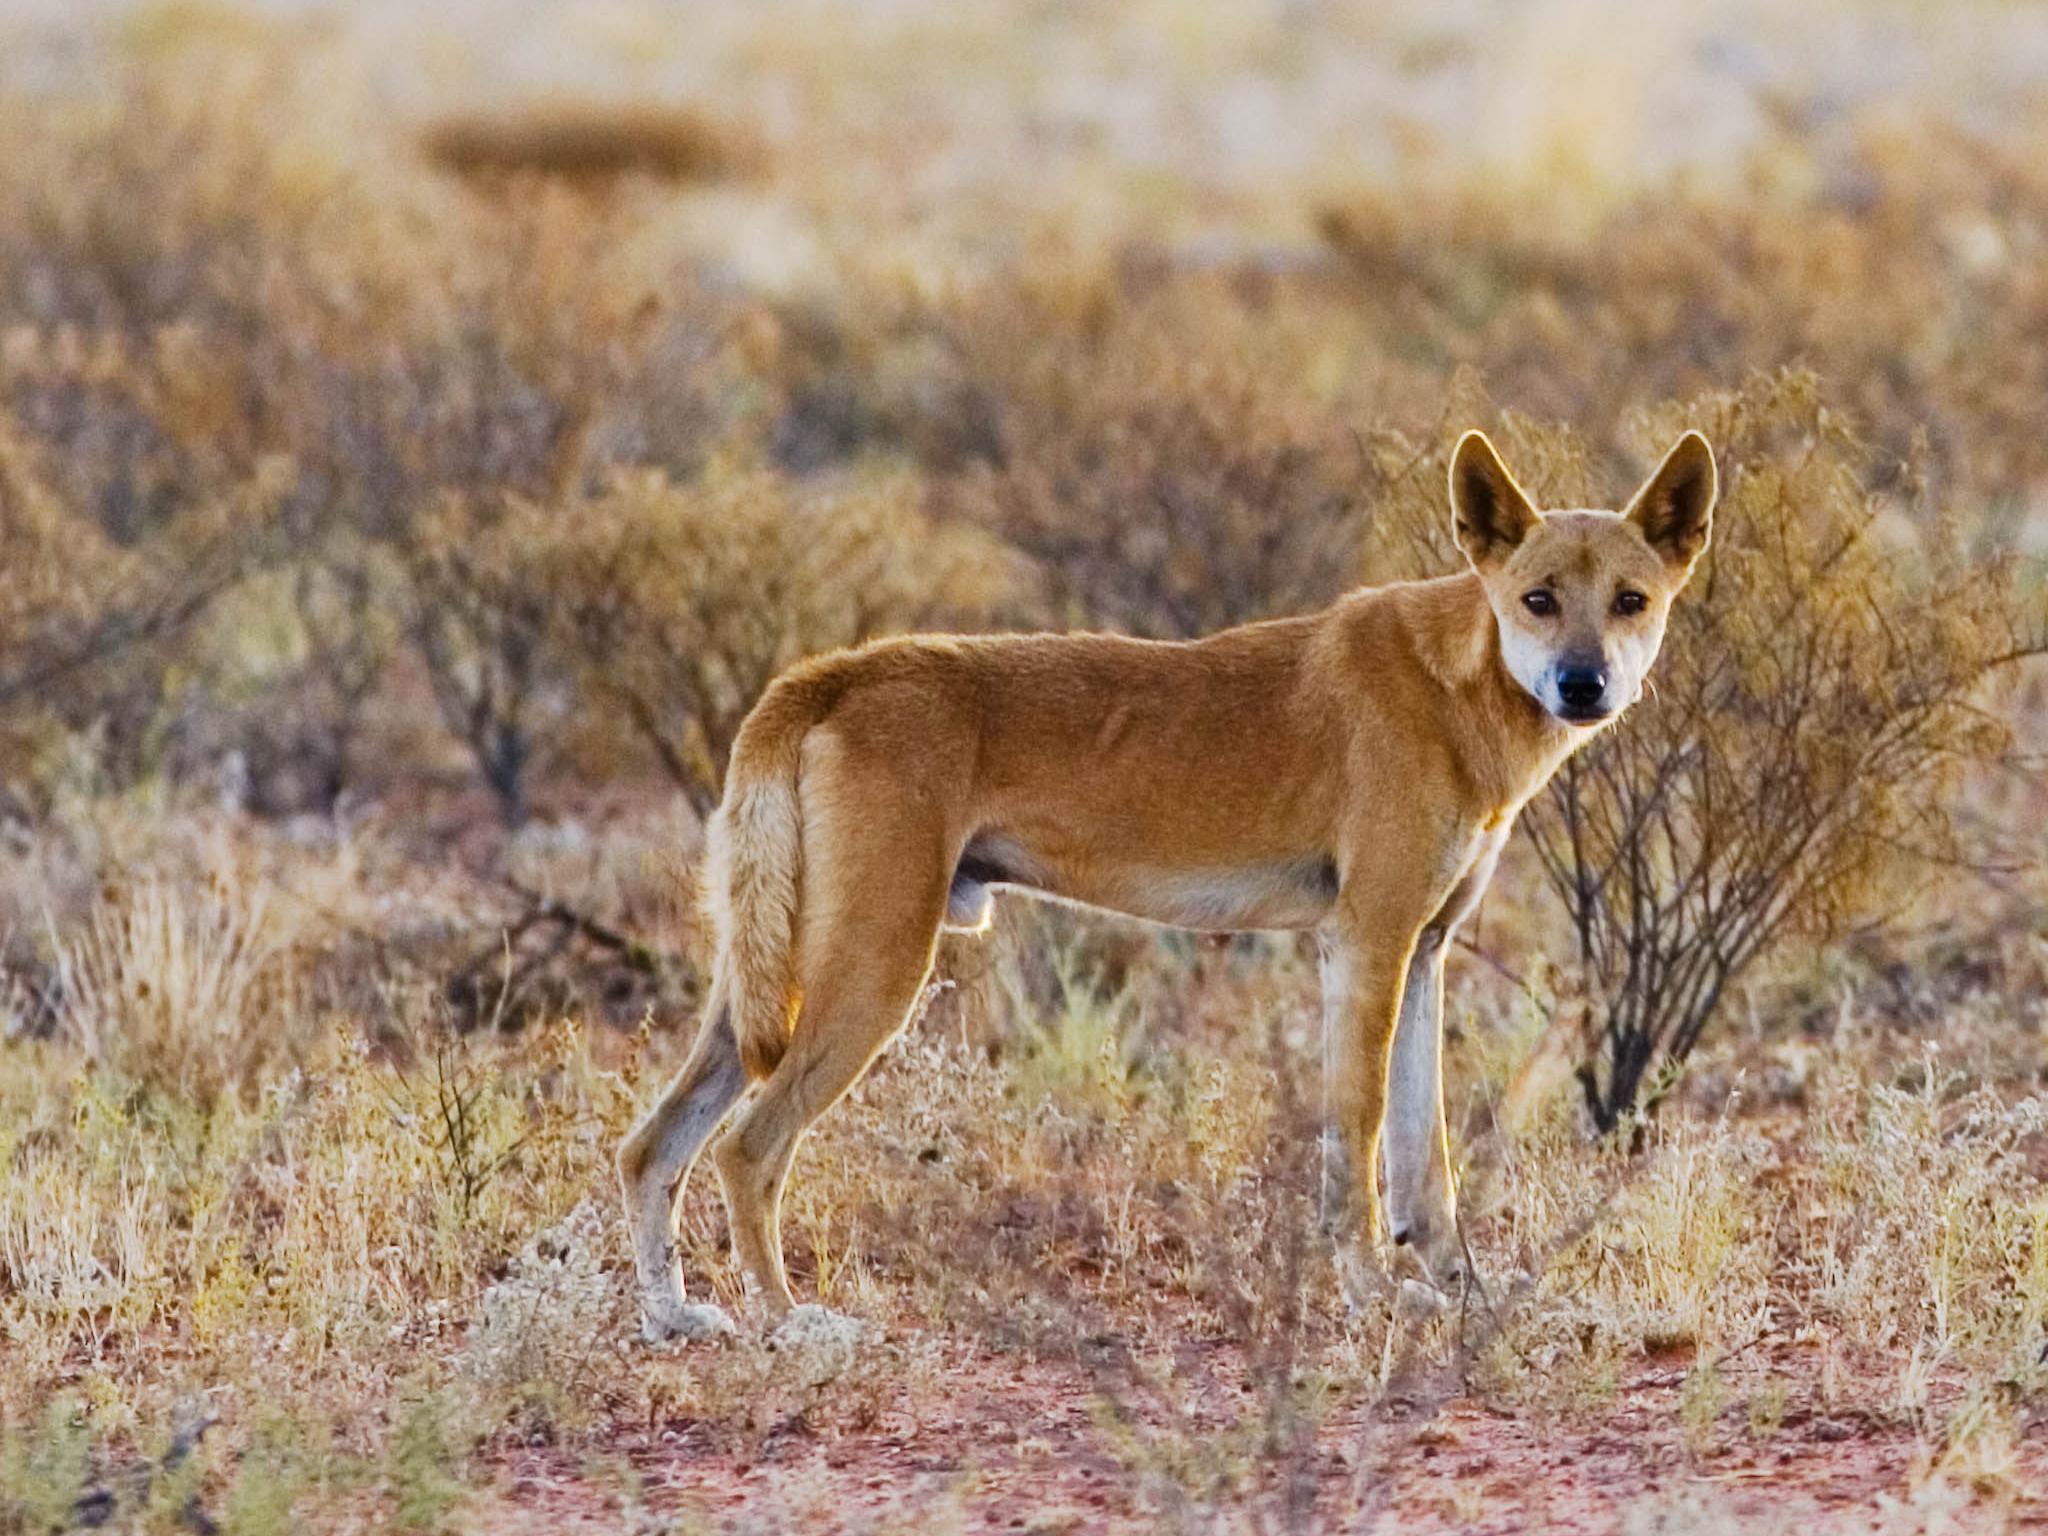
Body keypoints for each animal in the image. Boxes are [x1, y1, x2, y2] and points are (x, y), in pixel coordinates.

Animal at [618, 428, 1712, 1343]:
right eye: (1538, 599)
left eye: (1629, 601)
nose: (1583, 684)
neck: (1458, 688)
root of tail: (830, 674)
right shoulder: (1367, 940)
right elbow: (1358, 1143)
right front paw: (1370, 1294)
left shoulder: (1425, 948)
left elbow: (1422, 1164)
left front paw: (1462, 1292)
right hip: (875, 970)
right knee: (747, 1148)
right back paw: (790, 1323)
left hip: (768, 980)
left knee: (654, 1145)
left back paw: (675, 1319)